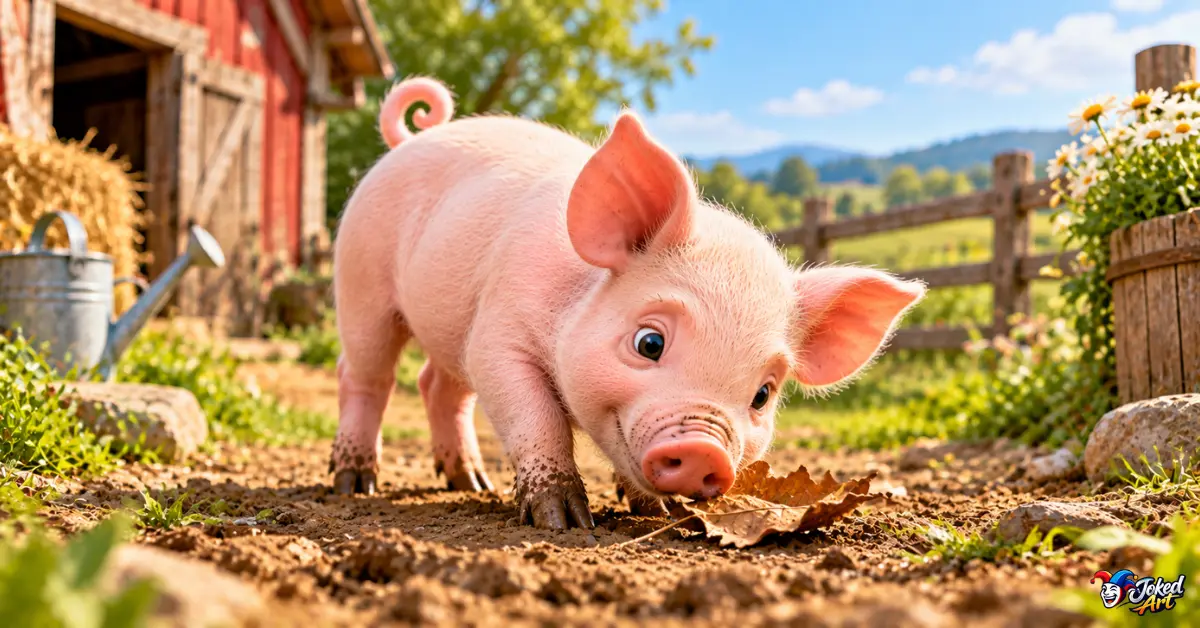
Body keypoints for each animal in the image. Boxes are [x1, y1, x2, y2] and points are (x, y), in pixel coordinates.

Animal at [329, 76, 927, 529]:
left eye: (763, 394)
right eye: (650, 342)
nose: (705, 451)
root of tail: (411, 140)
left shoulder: (481, 333)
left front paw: (655, 511)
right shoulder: (500, 336)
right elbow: (539, 417)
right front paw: (564, 522)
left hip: (451, 325)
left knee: (440, 386)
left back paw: (470, 482)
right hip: (361, 282)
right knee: (366, 375)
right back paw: (354, 485)